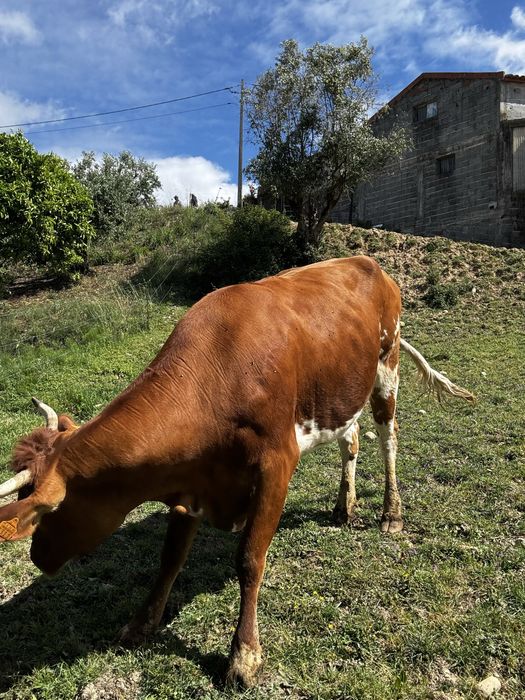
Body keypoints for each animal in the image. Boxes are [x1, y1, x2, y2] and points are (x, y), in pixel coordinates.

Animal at [0, 256, 474, 686]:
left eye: (48, 512)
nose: (36, 557)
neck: (216, 376)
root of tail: (368, 262)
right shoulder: (191, 484)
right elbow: (170, 558)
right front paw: (142, 623)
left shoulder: (276, 466)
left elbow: (249, 560)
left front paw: (244, 655)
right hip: (341, 390)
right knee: (350, 439)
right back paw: (345, 506)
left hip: (387, 366)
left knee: (388, 438)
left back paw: (391, 513)